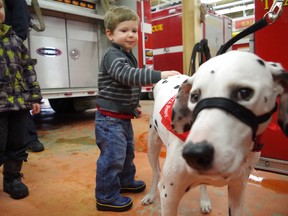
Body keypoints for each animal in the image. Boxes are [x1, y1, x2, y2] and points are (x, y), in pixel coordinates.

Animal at [142, 50, 288, 214]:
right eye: (194, 96)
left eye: (244, 92)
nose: (195, 153)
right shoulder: (169, 195)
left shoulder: (238, 190)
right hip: (152, 148)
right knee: (156, 172)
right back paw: (150, 195)